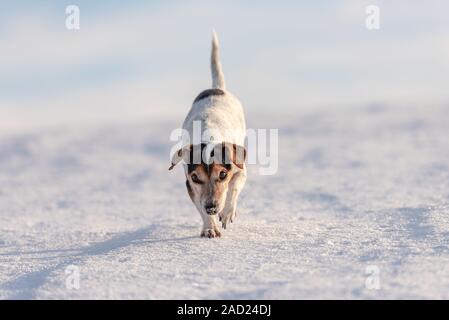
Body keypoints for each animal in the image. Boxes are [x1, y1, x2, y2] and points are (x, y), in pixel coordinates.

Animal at [168, 32, 247, 238]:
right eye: (196, 177)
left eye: (222, 174)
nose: (211, 207)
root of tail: (217, 88)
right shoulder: (190, 186)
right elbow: (199, 207)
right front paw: (209, 227)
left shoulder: (240, 170)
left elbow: (233, 188)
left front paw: (226, 213)